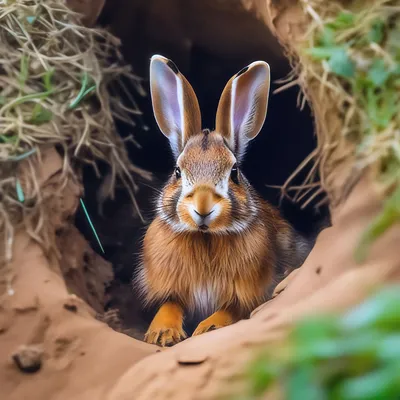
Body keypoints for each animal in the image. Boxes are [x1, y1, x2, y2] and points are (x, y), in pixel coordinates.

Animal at [137, 54, 312, 346]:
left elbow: (232, 308)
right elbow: (170, 304)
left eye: (234, 172)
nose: (203, 207)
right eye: (177, 171)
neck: (206, 237)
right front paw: (162, 333)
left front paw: (209, 327)